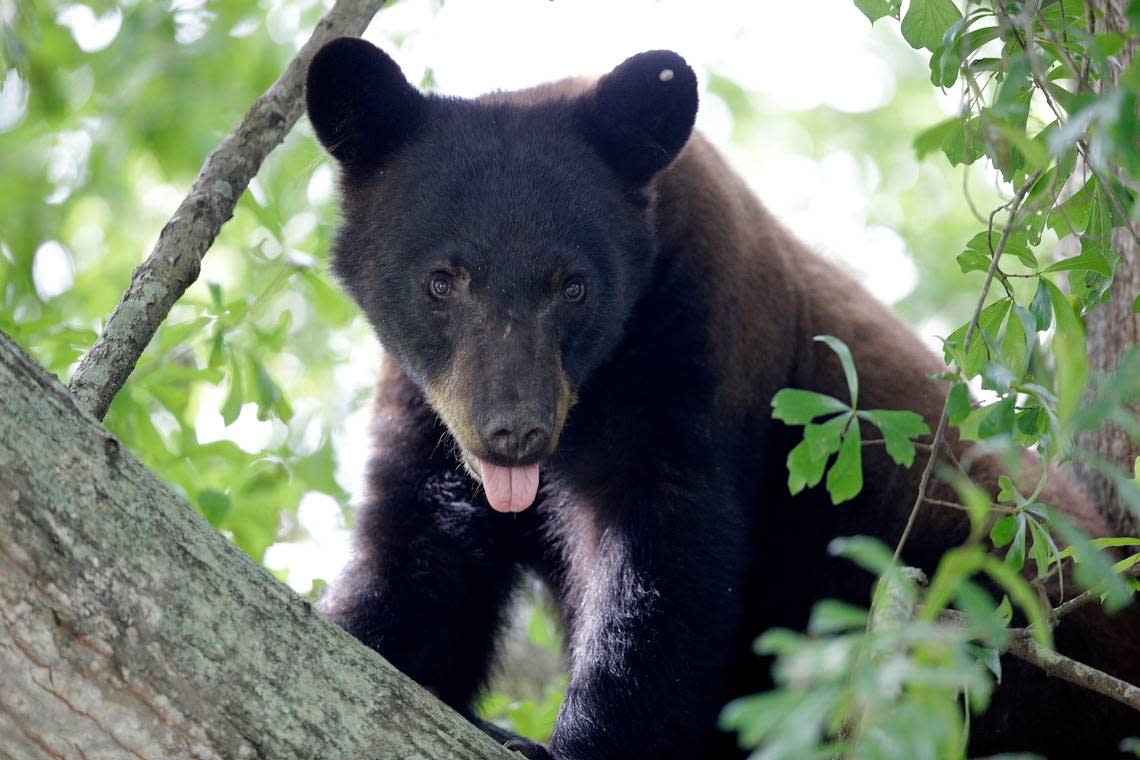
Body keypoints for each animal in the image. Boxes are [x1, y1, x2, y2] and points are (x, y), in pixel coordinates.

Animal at [307, 37, 1140, 760]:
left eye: (574, 286)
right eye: (441, 281)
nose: (515, 430)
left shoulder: (697, 345)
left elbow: (662, 567)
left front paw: (565, 744)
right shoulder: (428, 410)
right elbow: (420, 561)